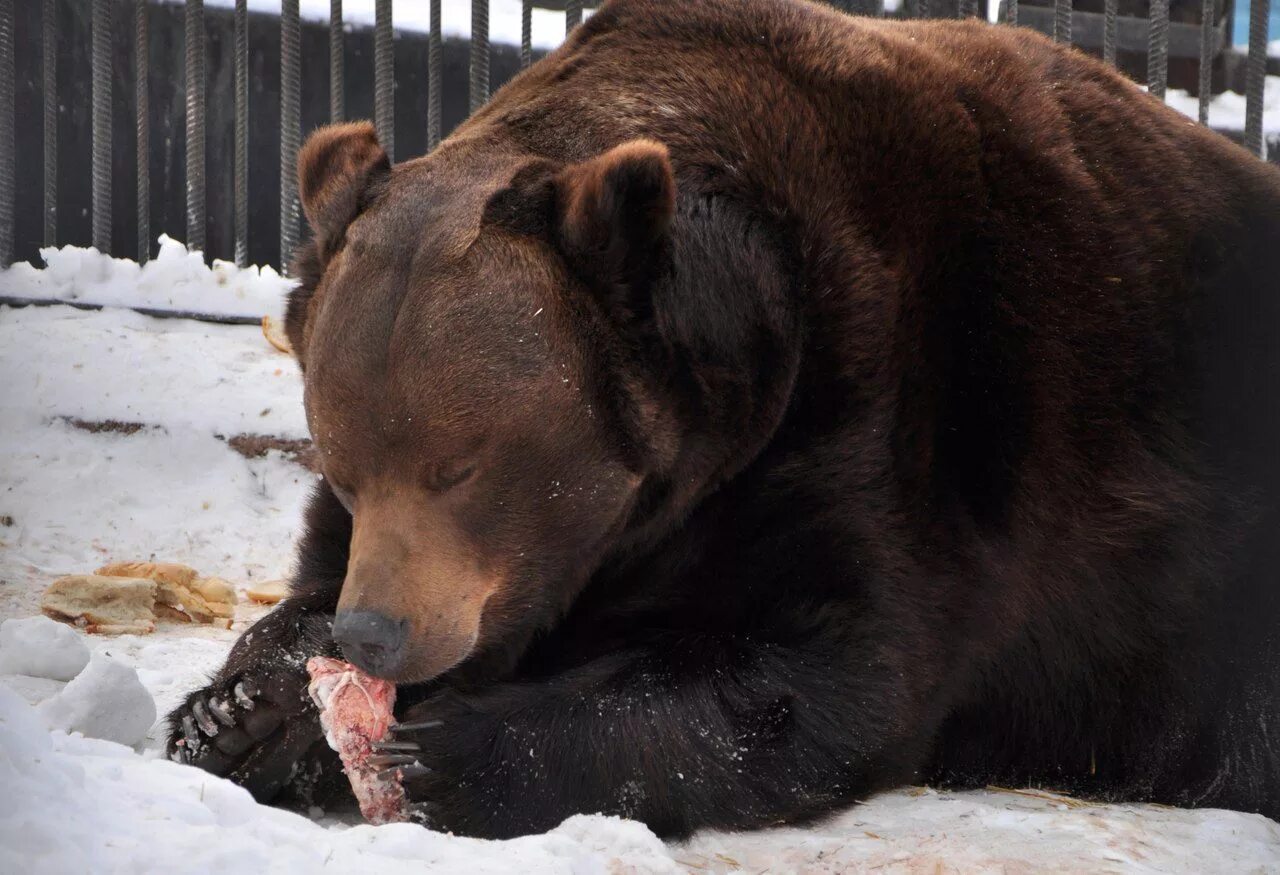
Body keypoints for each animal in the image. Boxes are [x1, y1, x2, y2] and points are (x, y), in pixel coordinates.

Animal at [167, 0, 1280, 839]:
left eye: (462, 466)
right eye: (346, 462)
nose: (378, 634)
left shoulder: (886, 425)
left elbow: (820, 675)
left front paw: (447, 751)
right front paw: (242, 710)